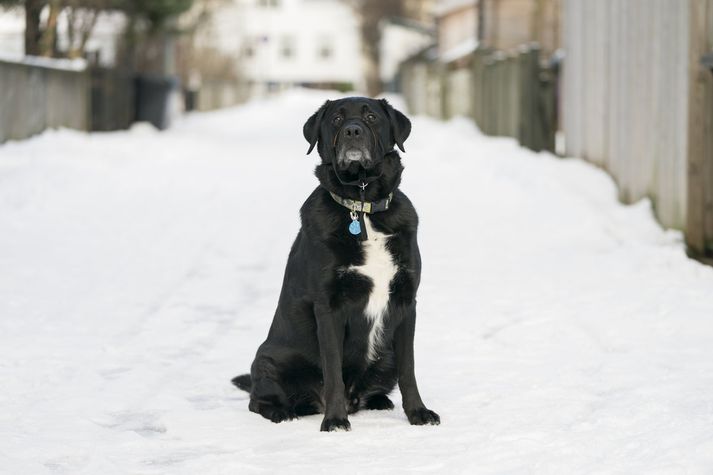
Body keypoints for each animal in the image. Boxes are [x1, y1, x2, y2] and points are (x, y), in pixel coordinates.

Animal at [231, 96, 440, 432]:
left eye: (371, 116)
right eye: (337, 119)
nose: (353, 131)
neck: (362, 207)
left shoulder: (407, 301)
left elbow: (409, 370)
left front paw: (418, 413)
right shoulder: (329, 306)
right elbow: (333, 372)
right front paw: (335, 421)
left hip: (386, 355)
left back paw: (379, 401)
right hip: (268, 358)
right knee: (258, 399)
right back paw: (282, 412)